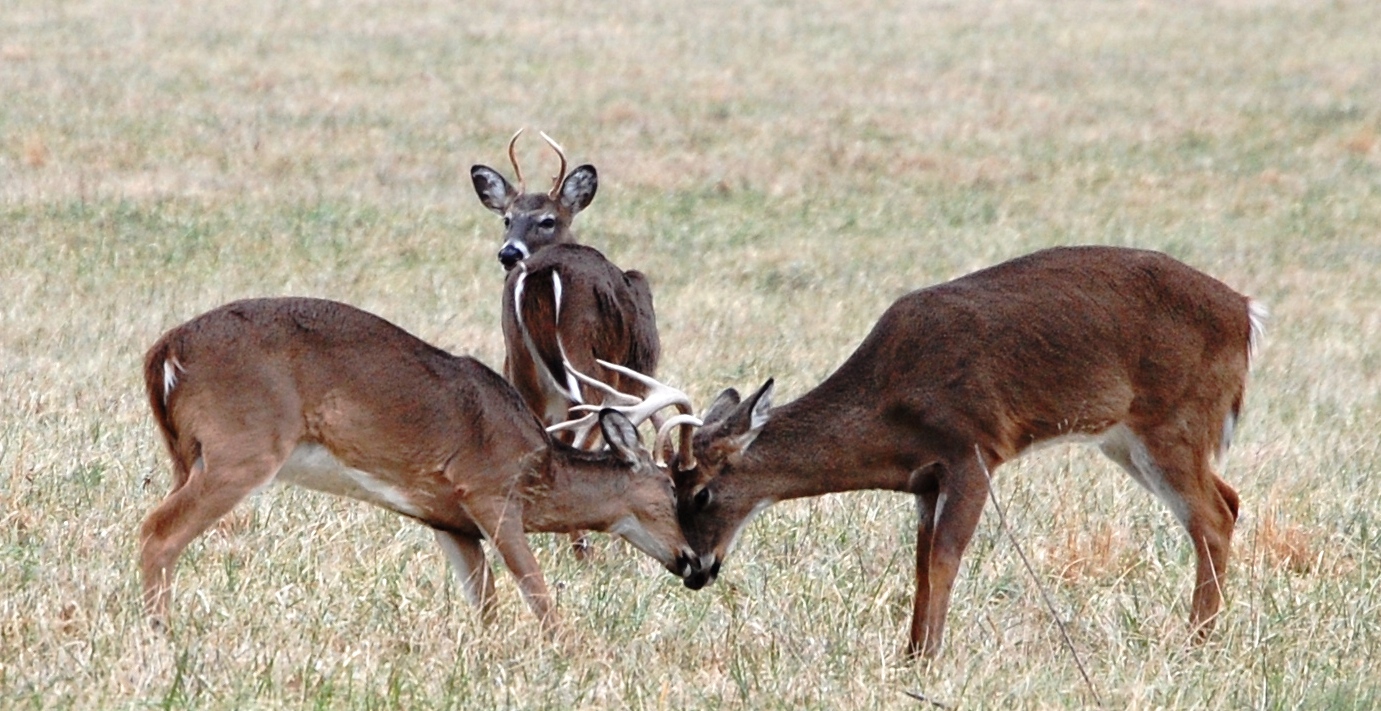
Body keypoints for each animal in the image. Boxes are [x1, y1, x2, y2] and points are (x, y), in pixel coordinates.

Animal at [140, 298, 701, 637]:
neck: (539, 466)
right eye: (673, 493)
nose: (695, 563)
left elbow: (486, 604)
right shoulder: (488, 491)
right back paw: (162, 636)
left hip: (186, 455)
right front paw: (567, 653)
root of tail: (164, 350)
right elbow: (536, 591)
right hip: (242, 448)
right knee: (157, 531)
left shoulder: (448, 520)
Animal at [673, 244, 1264, 657]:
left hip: (1175, 420)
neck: (889, 403)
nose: (694, 570)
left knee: (1212, 517)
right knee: (1229, 500)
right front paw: (911, 654)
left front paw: (930, 659)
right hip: (1129, 438)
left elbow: (944, 558)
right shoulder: (925, 481)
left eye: (700, 494)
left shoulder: (974, 447)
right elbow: (919, 562)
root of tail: (1245, 314)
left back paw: (1195, 643)